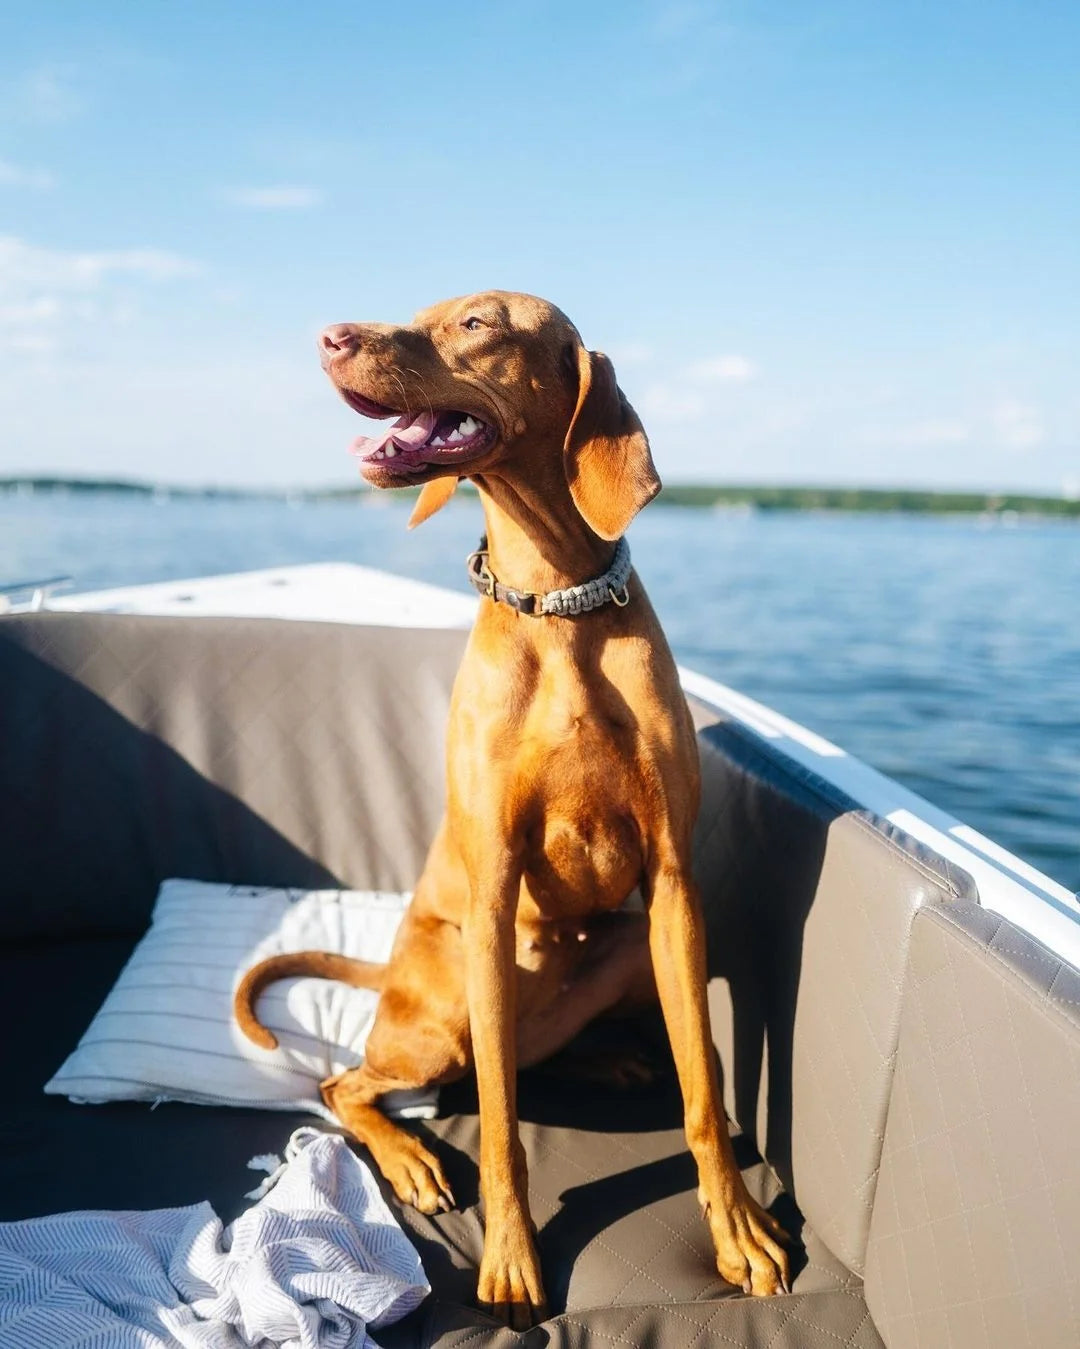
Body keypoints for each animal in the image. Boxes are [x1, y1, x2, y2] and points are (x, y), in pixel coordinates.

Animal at [235, 290, 787, 1322]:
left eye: (477, 324)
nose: (330, 336)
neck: (558, 604)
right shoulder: (493, 897)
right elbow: (498, 1123)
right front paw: (510, 1256)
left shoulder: (673, 887)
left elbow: (702, 1089)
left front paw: (735, 1227)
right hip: (447, 1008)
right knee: (346, 1081)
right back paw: (411, 1155)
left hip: (631, 952)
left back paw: (601, 1058)